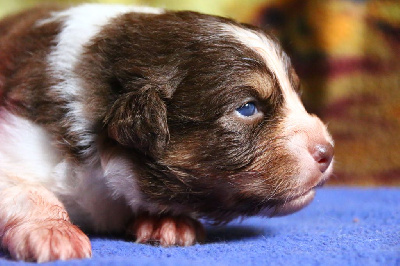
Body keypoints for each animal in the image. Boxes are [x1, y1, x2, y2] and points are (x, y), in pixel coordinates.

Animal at [0, 3, 334, 262]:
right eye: (248, 108)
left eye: (297, 92)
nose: (328, 152)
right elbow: (27, 190)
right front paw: (52, 231)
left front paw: (168, 220)